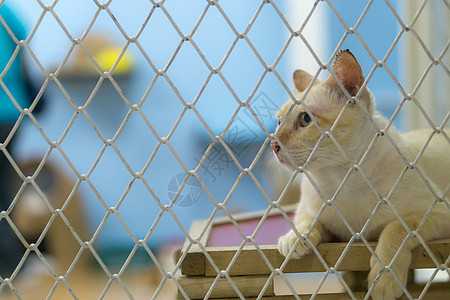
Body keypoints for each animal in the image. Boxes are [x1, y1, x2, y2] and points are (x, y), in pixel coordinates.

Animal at [270, 49, 450, 300]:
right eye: (279, 122)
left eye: (305, 119)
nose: (273, 144)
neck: (343, 179)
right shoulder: (315, 214)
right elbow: (307, 221)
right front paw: (295, 238)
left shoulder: (438, 212)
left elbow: (396, 228)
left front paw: (385, 280)